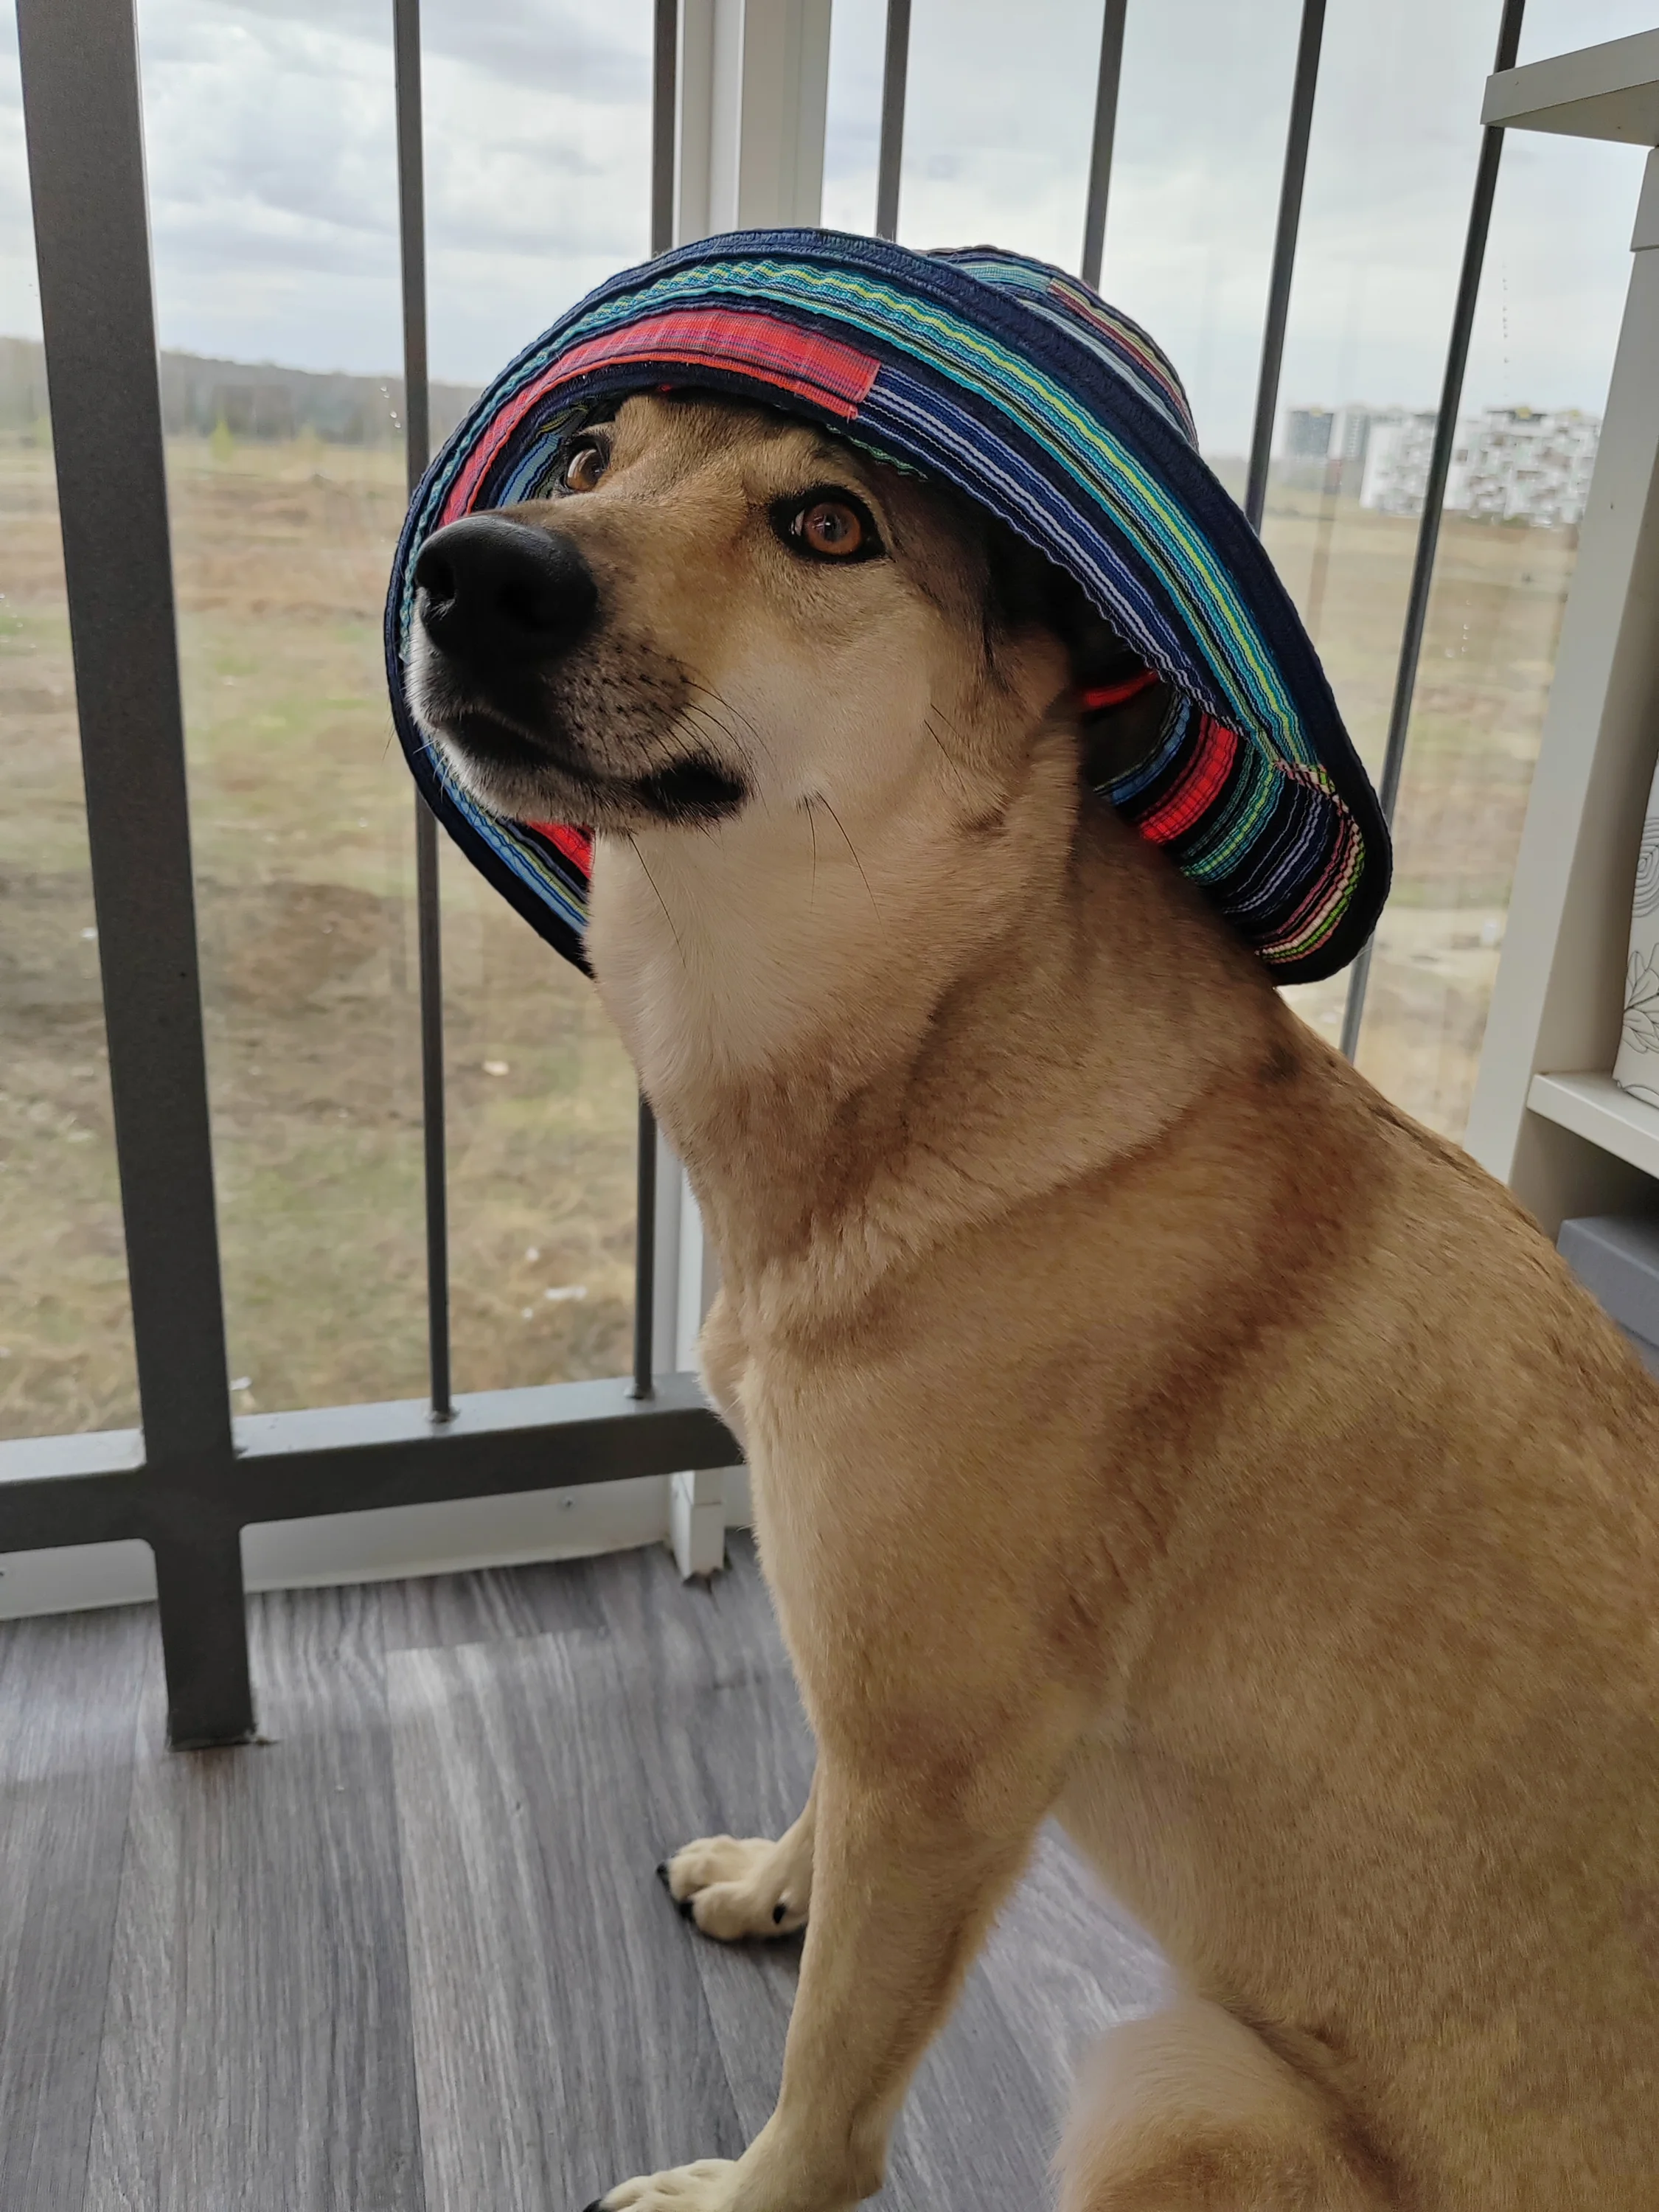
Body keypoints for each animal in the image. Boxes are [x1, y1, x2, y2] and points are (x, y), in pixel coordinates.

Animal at [409, 390, 1659, 2210]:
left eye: (830, 527)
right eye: (588, 462)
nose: (474, 574)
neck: (938, 1028)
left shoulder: (940, 1766)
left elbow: (830, 2088)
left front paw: (740, 2189)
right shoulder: (881, 1706)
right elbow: (821, 1813)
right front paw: (775, 1882)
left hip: (1180, 2087)